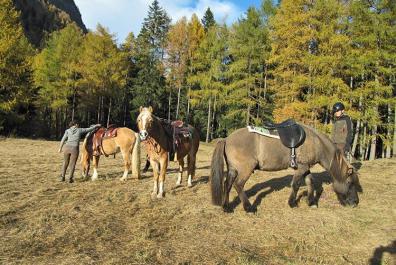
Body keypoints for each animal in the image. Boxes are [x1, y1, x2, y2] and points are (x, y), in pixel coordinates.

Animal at [210, 124, 362, 212]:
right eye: (350, 182)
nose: (355, 202)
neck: (316, 142)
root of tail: (226, 139)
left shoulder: (305, 167)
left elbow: (310, 181)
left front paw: (311, 201)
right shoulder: (301, 168)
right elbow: (296, 185)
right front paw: (292, 203)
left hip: (233, 169)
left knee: (228, 184)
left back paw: (226, 207)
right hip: (245, 169)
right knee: (238, 185)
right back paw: (248, 208)